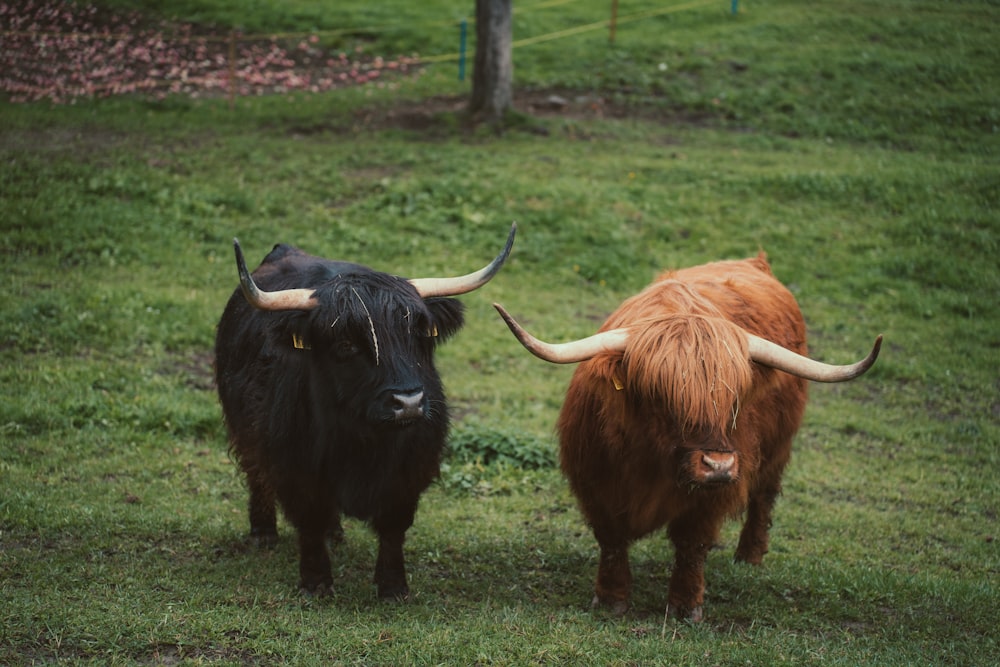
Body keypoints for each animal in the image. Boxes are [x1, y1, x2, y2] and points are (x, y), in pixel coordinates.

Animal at [217, 226, 516, 600]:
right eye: (346, 345)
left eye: (419, 335)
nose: (409, 402)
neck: (364, 440)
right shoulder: (296, 466)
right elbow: (309, 521)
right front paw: (316, 583)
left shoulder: (411, 470)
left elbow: (393, 526)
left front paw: (393, 586)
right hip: (244, 429)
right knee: (256, 472)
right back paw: (263, 533)